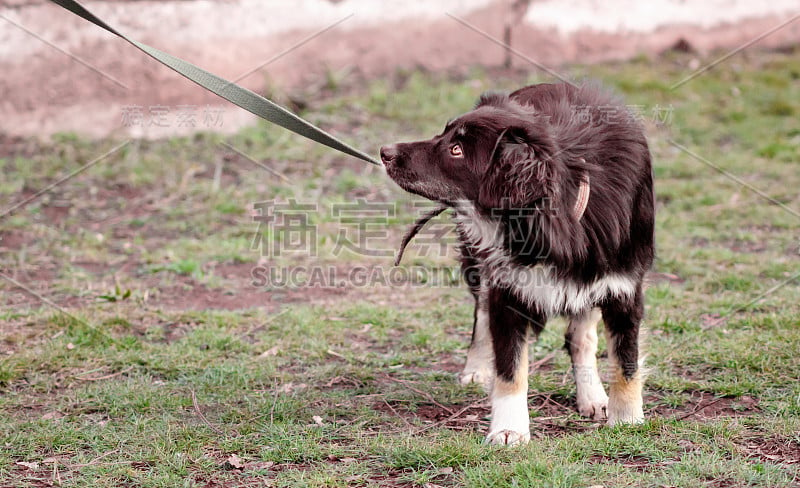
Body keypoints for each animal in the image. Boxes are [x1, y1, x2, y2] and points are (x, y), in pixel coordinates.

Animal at [382, 83, 656, 446]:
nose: (385, 151)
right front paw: (509, 428)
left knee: (581, 336)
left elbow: (626, 362)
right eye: (444, 133)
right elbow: (510, 368)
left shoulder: (622, 286)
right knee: (482, 314)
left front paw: (627, 420)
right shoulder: (508, 287)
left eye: (456, 150)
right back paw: (477, 367)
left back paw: (593, 395)